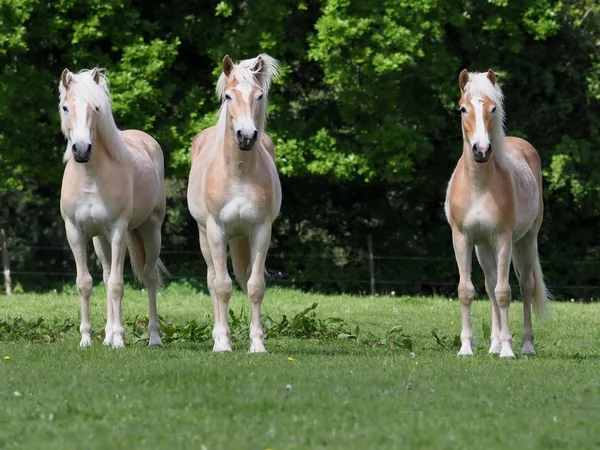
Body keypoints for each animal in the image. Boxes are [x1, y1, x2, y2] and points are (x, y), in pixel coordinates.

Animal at [59, 67, 166, 348]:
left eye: (96, 108)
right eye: (65, 107)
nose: (81, 150)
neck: (90, 178)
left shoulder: (118, 231)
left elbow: (118, 285)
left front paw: (119, 339)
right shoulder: (75, 232)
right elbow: (85, 283)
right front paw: (87, 339)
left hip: (150, 229)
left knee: (149, 276)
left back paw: (154, 337)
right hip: (100, 240)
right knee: (106, 277)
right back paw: (106, 336)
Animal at [188, 54, 282, 354]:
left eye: (259, 95)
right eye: (229, 96)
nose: (246, 136)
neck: (238, 173)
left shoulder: (262, 231)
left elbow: (255, 286)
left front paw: (257, 344)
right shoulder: (216, 231)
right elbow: (221, 286)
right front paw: (223, 343)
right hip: (205, 236)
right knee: (212, 281)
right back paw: (218, 336)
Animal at [442, 69, 552, 358]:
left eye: (493, 108)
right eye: (462, 109)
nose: (481, 150)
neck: (479, 186)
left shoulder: (503, 239)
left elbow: (505, 293)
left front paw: (508, 350)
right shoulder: (462, 238)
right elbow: (467, 291)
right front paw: (466, 348)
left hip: (527, 239)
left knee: (525, 286)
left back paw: (525, 345)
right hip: (483, 247)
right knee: (490, 286)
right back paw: (493, 344)